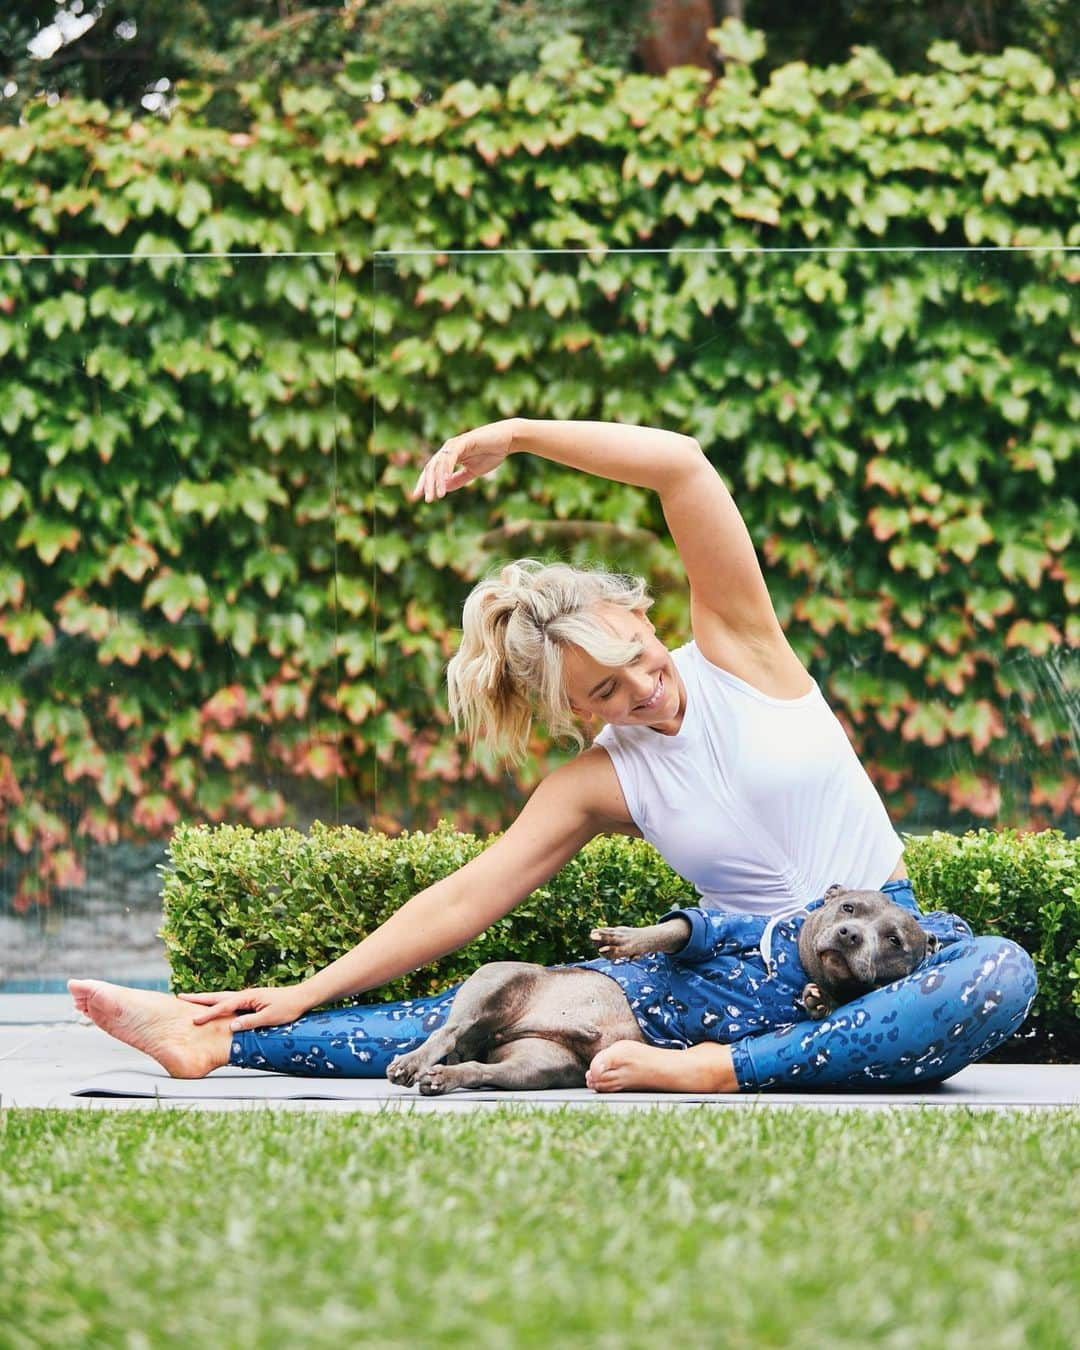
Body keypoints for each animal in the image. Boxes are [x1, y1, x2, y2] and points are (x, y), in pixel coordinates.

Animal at [388, 885, 934, 1096]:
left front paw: (822, 1000)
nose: (850, 936)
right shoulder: (728, 927)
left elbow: (826, 1004)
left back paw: (445, 1076)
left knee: (483, 1070)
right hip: (497, 978)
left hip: (537, 1064)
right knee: (448, 1031)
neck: (794, 969)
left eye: (894, 940)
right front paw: (629, 940)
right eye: (849, 909)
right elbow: (685, 929)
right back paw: (414, 1062)